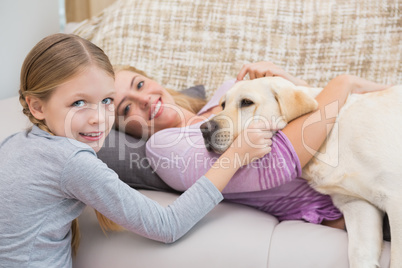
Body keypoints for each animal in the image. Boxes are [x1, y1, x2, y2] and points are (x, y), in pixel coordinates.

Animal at [200, 76, 402, 266]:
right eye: (223, 104)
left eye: (246, 102)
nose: (204, 129)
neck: (330, 137)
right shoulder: (356, 203)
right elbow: (359, 254)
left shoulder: (396, 198)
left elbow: (396, 258)